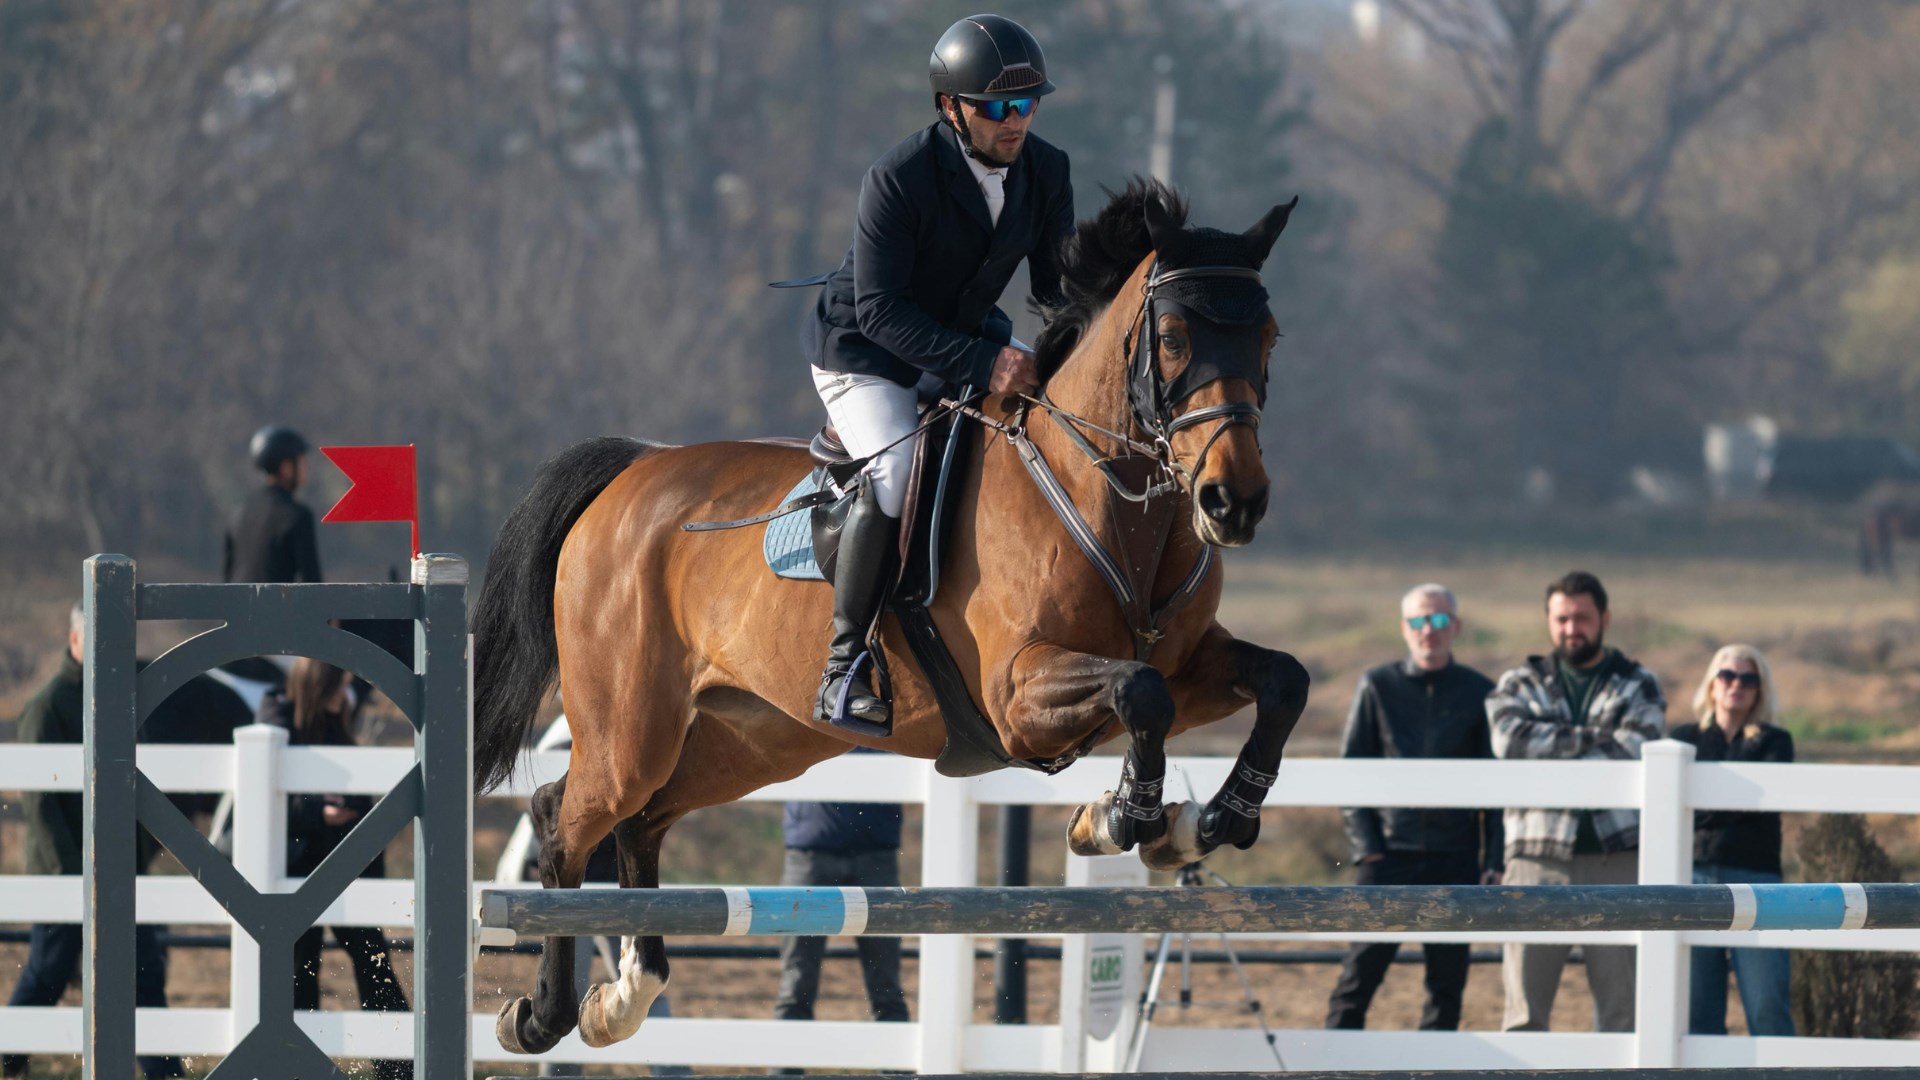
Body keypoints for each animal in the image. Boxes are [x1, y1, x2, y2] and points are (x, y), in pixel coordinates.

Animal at [470, 179, 1312, 1055]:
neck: (1111, 499)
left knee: (641, 822)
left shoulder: (1191, 659)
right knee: (565, 819)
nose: (1233, 502)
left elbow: (1279, 681)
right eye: (1174, 338)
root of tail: (634, 470)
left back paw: (626, 995)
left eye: (1268, 336)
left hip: (755, 740)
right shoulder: (1017, 696)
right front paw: (1119, 820)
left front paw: (1206, 821)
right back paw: (543, 1016)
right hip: (632, 729)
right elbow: (1141, 692)